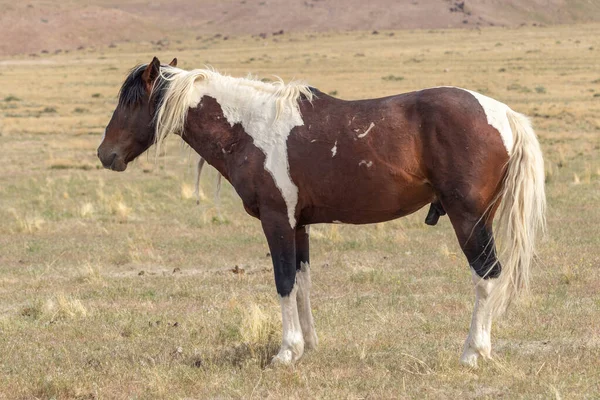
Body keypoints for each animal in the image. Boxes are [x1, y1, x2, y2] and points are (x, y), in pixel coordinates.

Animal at [97, 57, 544, 368]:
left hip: (468, 219)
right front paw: (307, 346)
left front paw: (285, 352)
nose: (106, 154)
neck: (250, 128)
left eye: (133, 102)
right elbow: (302, 282)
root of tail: (503, 113)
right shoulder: (299, 226)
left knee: (487, 276)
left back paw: (473, 353)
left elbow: (282, 281)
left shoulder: (277, 221)